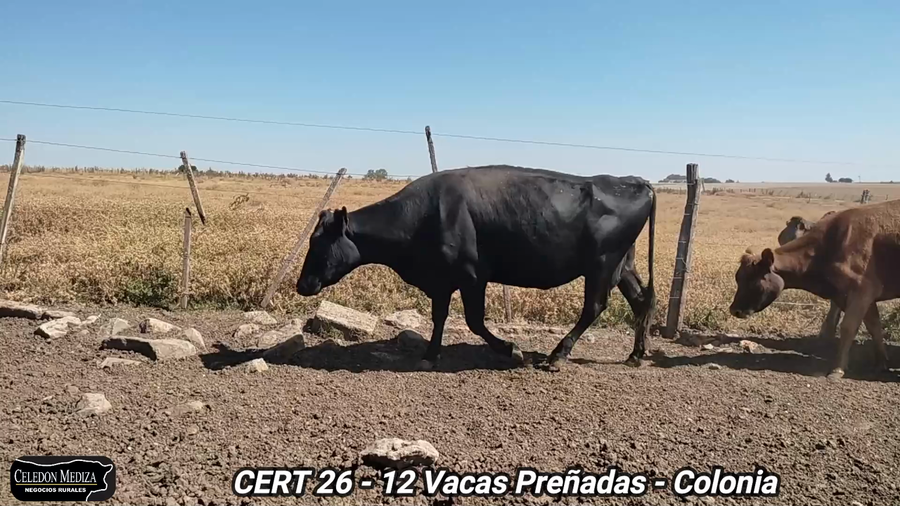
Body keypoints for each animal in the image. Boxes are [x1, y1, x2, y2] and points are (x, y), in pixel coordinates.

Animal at [295, 164, 657, 372]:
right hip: (622, 265)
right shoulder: (441, 279)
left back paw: (557, 355)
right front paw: (430, 354)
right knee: (642, 301)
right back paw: (636, 355)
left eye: (319, 244)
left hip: (601, 265)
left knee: (594, 307)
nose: (301, 284)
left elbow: (474, 321)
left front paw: (511, 349)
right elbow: (439, 316)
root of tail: (635, 181)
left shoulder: (472, 276)